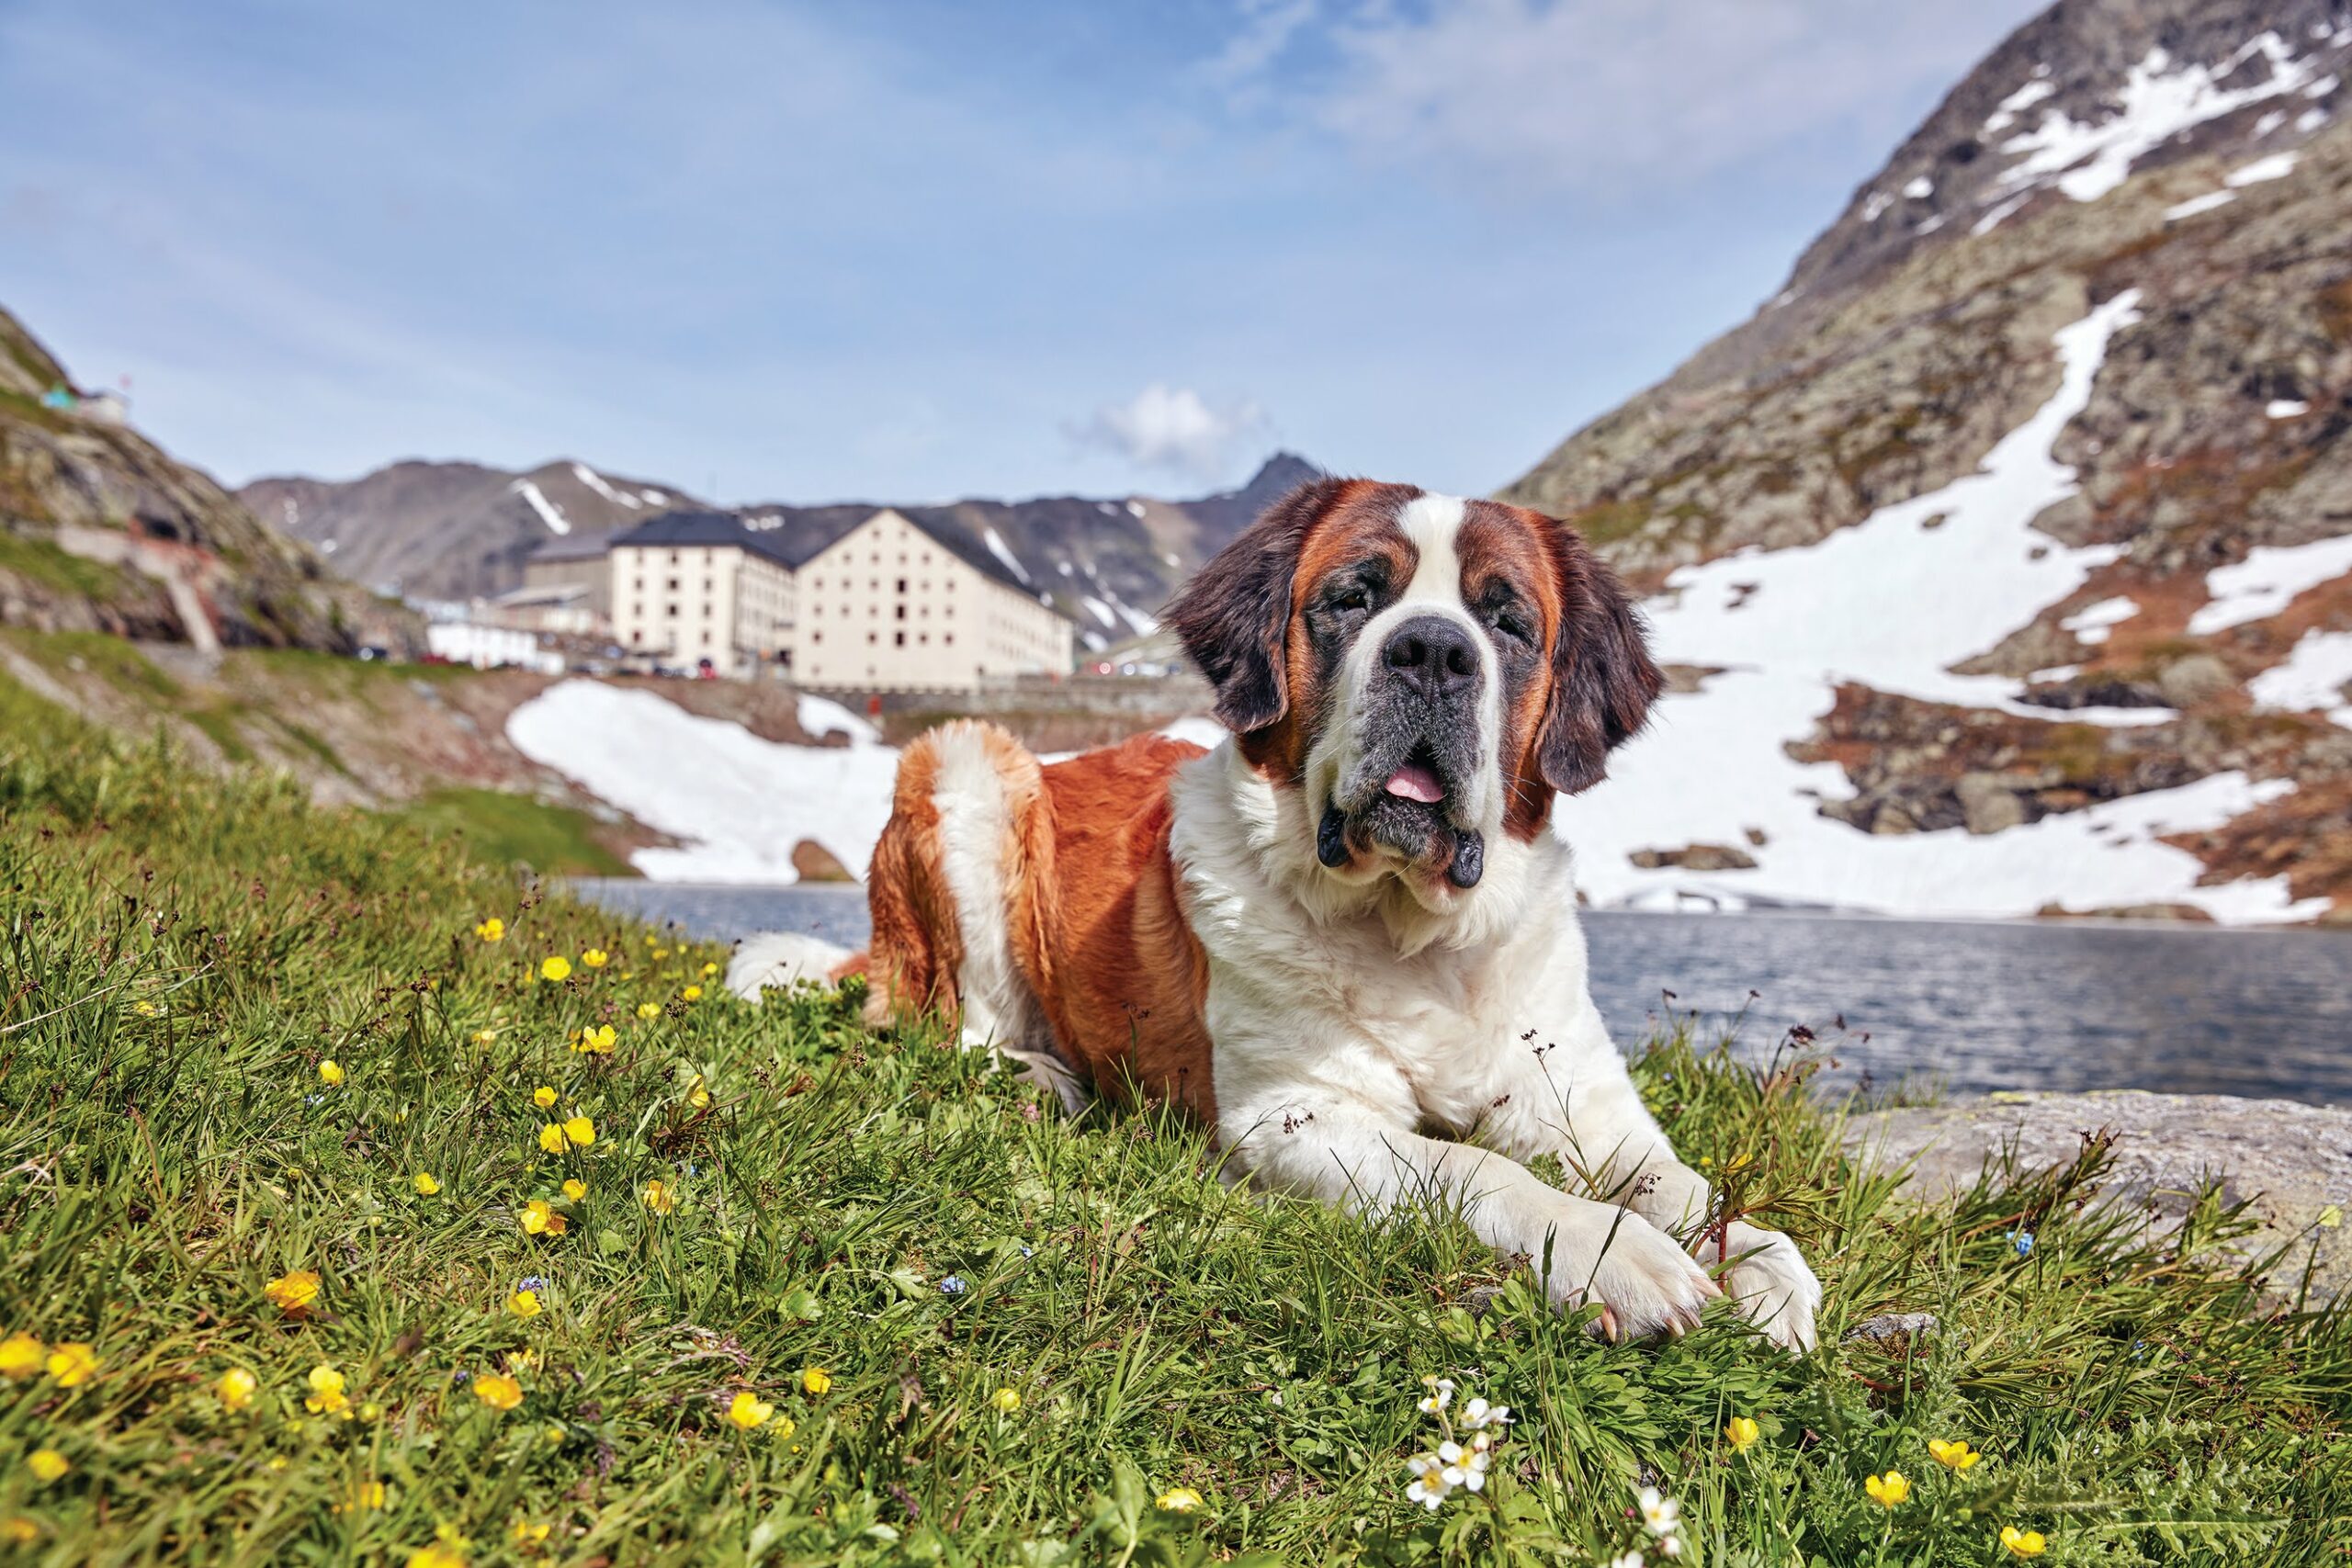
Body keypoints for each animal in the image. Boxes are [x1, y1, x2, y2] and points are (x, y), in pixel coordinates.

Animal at [729, 481, 1815, 1354]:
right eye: (1352, 599)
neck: (1419, 941)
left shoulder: (1585, 1109)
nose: (1432, 652)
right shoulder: (1294, 1116)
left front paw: (1766, 1267)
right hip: (964, 765)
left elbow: (1682, 1184)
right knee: (952, 1027)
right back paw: (1040, 1076)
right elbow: (1470, 1166)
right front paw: (1617, 1254)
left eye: (1506, 623)